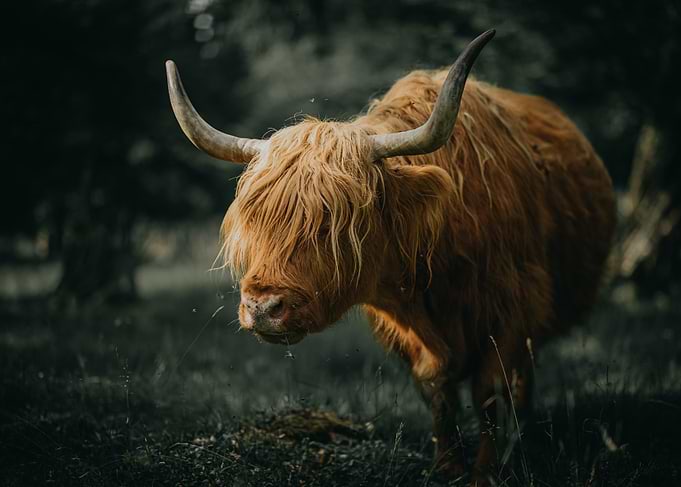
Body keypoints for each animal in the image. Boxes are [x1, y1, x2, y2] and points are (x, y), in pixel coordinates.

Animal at [165, 30, 616, 483]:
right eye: (255, 220)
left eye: (332, 221)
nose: (262, 307)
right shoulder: (406, 330)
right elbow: (436, 388)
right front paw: (446, 467)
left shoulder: (512, 309)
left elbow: (490, 390)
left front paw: (485, 472)